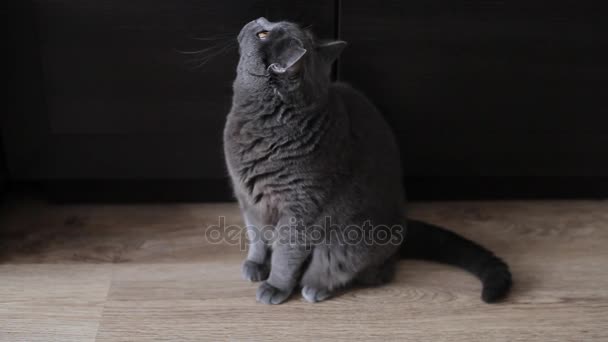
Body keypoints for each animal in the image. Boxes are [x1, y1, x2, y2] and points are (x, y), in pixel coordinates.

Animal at [223, 17, 512, 304]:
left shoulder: (300, 210)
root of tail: (403, 225)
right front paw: (256, 265)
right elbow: (257, 237)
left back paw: (316, 286)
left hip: (347, 241)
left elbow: (286, 254)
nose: (257, 19)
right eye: (266, 25)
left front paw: (275, 287)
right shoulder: (248, 198)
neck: (258, 125)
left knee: (370, 272)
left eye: (263, 34)